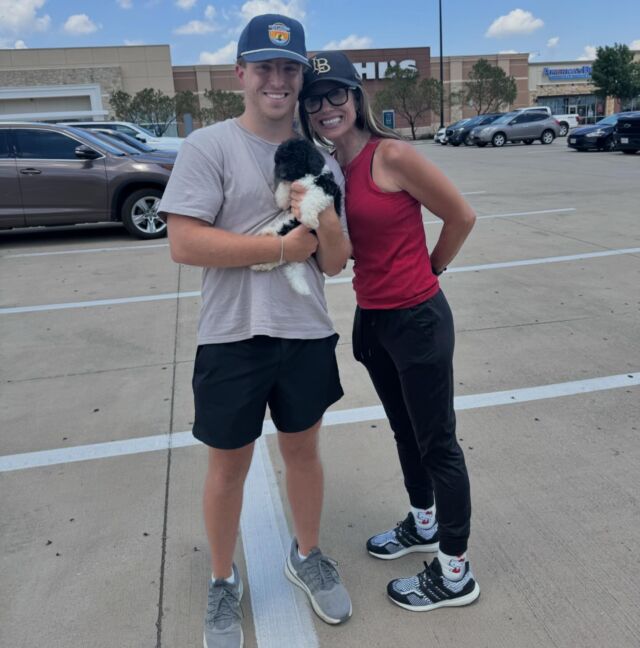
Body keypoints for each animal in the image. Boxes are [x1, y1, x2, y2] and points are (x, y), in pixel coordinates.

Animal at [250, 140, 342, 298]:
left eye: (295, 159)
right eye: (279, 161)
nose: (281, 174)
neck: (303, 175)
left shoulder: (325, 187)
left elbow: (313, 198)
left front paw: (310, 219)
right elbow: (285, 195)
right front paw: (281, 196)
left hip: (291, 225)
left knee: (279, 256)